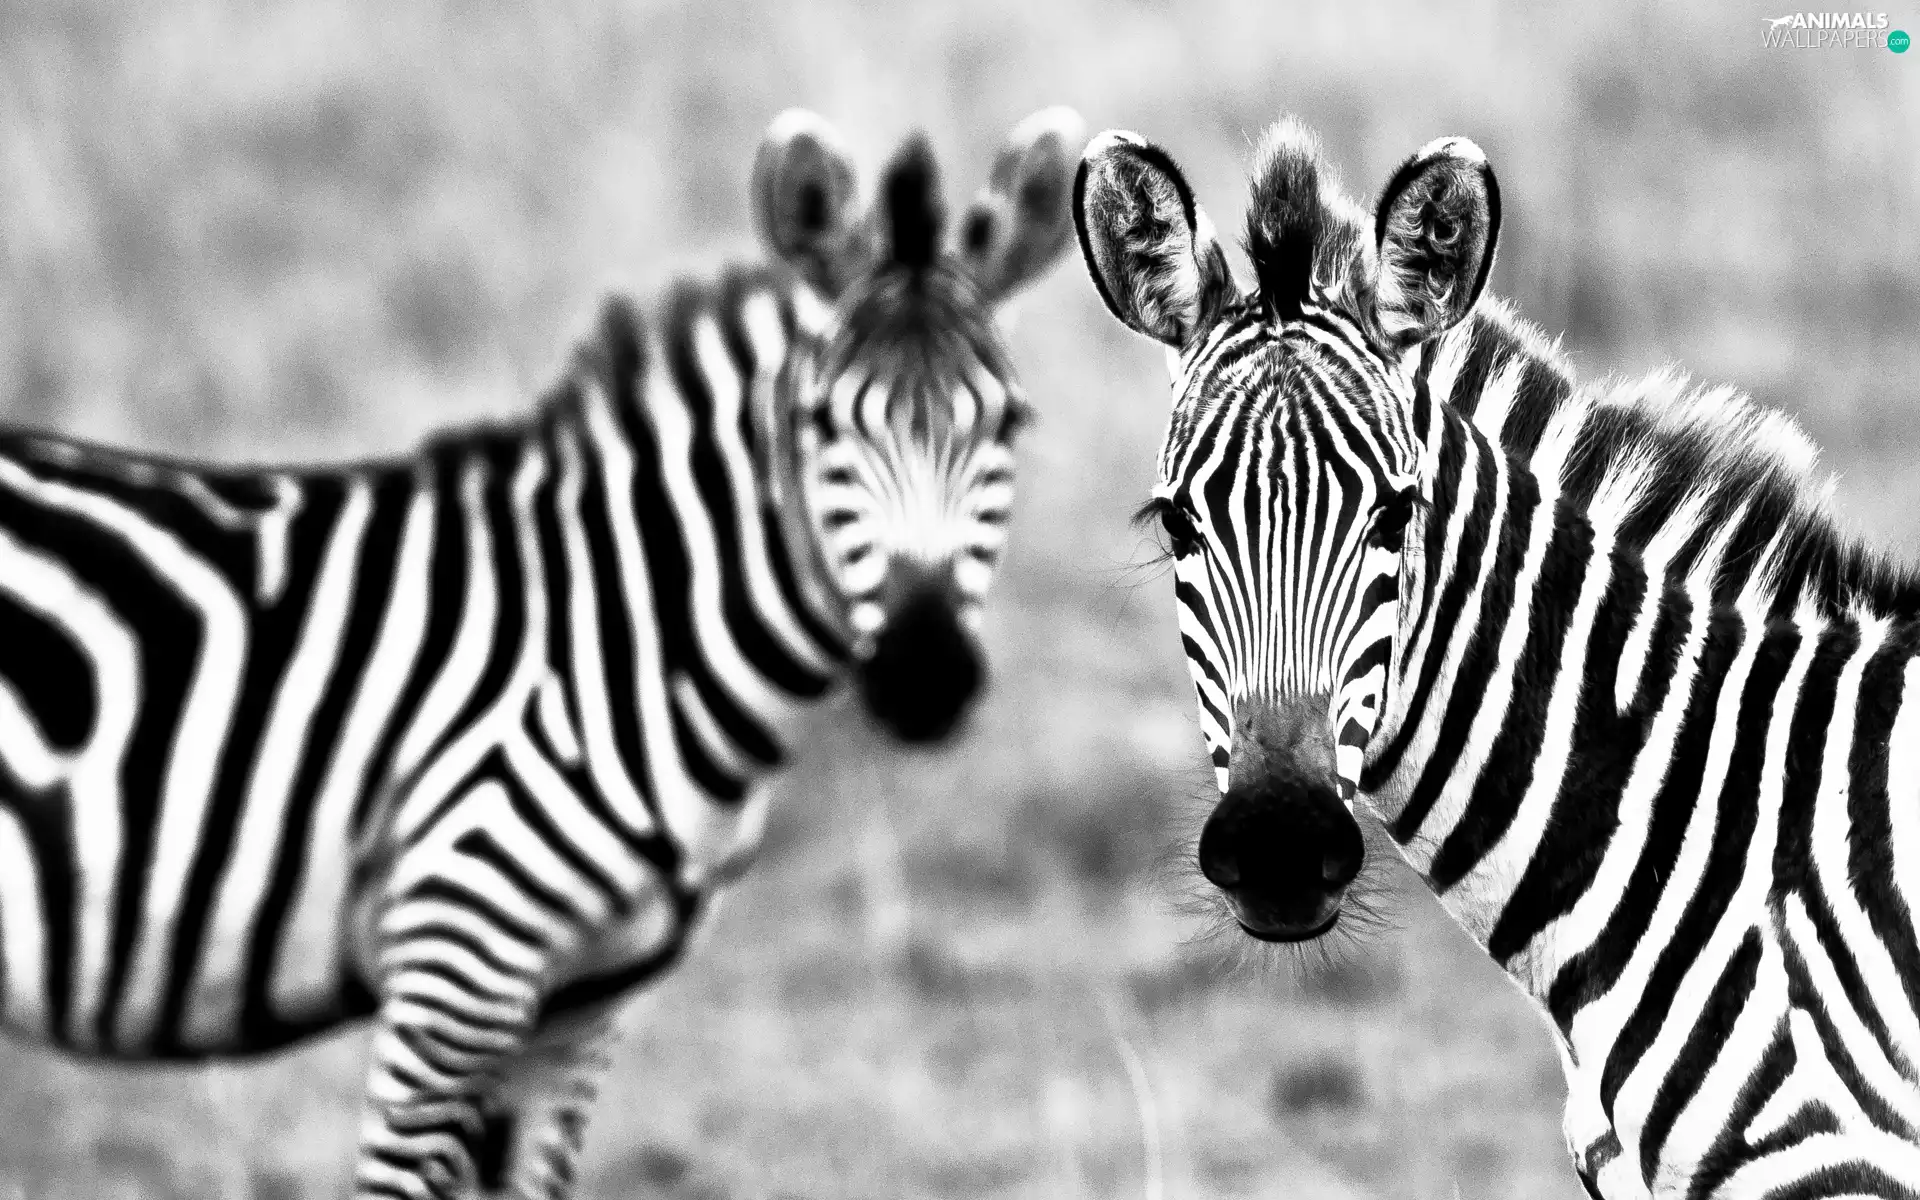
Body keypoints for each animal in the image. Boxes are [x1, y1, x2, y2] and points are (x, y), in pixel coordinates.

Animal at [0, 105, 1084, 1198]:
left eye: (1012, 422)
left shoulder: (578, 1009)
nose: (926, 677)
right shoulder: (456, 967)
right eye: (819, 425)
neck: (627, 636)